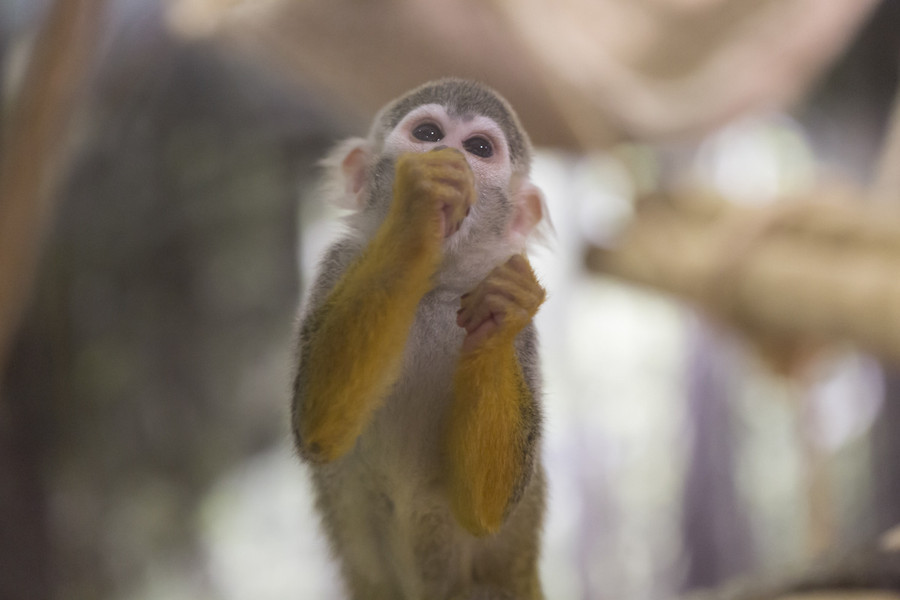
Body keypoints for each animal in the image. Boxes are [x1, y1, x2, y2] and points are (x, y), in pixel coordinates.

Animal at [294, 79, 548, 600]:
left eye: (479, 148)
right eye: (428, 133)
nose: (450, 153)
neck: (431, 284)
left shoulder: (522, 321)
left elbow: (485, 509)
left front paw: (502, 311)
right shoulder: (341, 261)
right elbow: (318, 426)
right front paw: (419, 210)